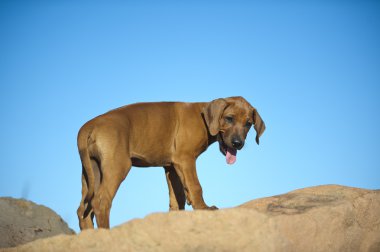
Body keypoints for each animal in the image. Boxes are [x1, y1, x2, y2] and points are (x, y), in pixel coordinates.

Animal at [76, 95, 268, 229]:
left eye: (248, 124)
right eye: (229, 118)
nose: (238, 144)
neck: (203, 119)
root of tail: (89, 126)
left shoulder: (172, 166)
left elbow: (177, 197)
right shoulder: (185, 158)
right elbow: (195, 187)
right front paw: (203, 208)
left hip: (91, 171)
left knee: (83, 209)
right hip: (117, 167)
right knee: (101, 202)